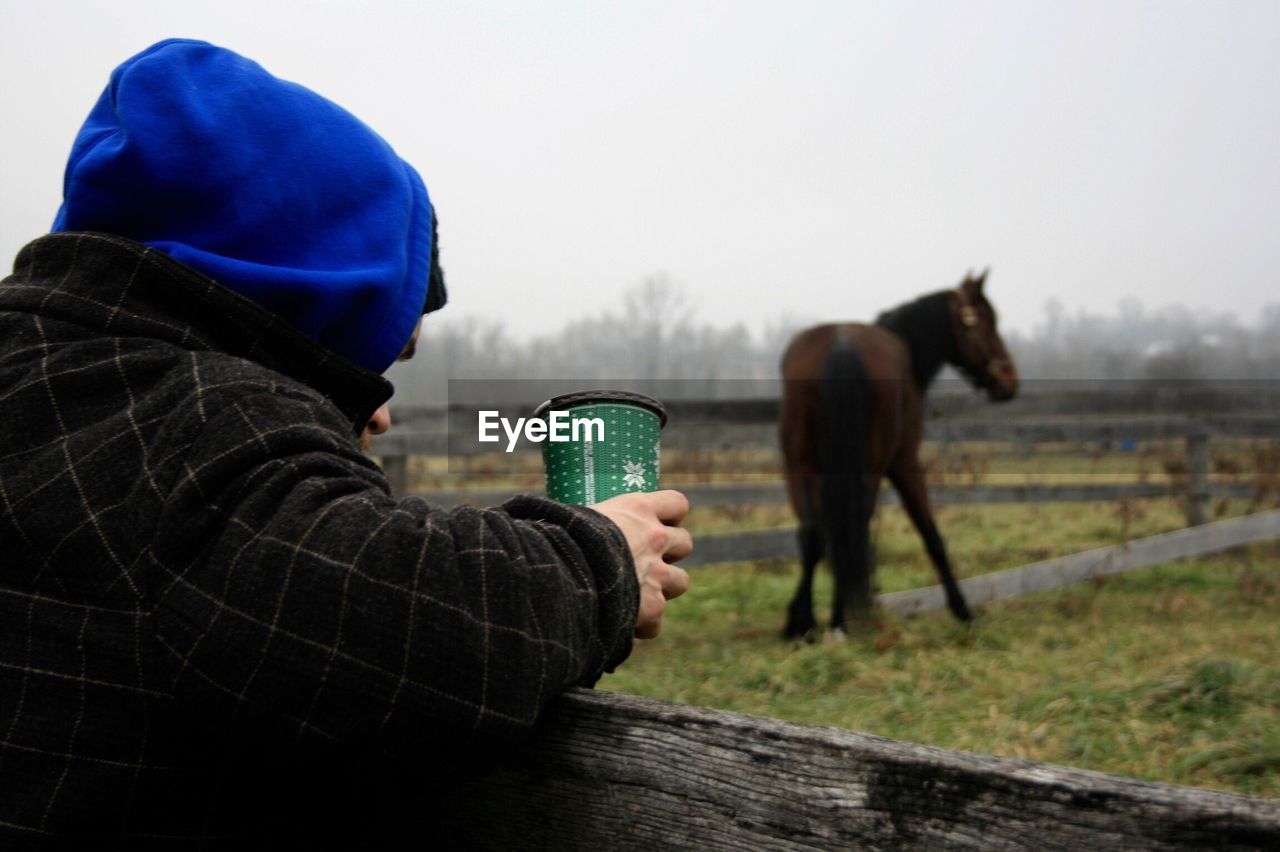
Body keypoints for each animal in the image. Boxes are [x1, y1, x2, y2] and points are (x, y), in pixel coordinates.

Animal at [773, 268, 1013, 634]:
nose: (1009, 380)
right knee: (850, 528)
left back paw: (807, 622)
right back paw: (840, 621)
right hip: (867, 468)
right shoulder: (905, 464)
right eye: (986, 318)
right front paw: (962, 610)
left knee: (815, 534)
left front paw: (802, 619)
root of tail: (841, 343)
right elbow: (931, 535)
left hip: (798, 465)